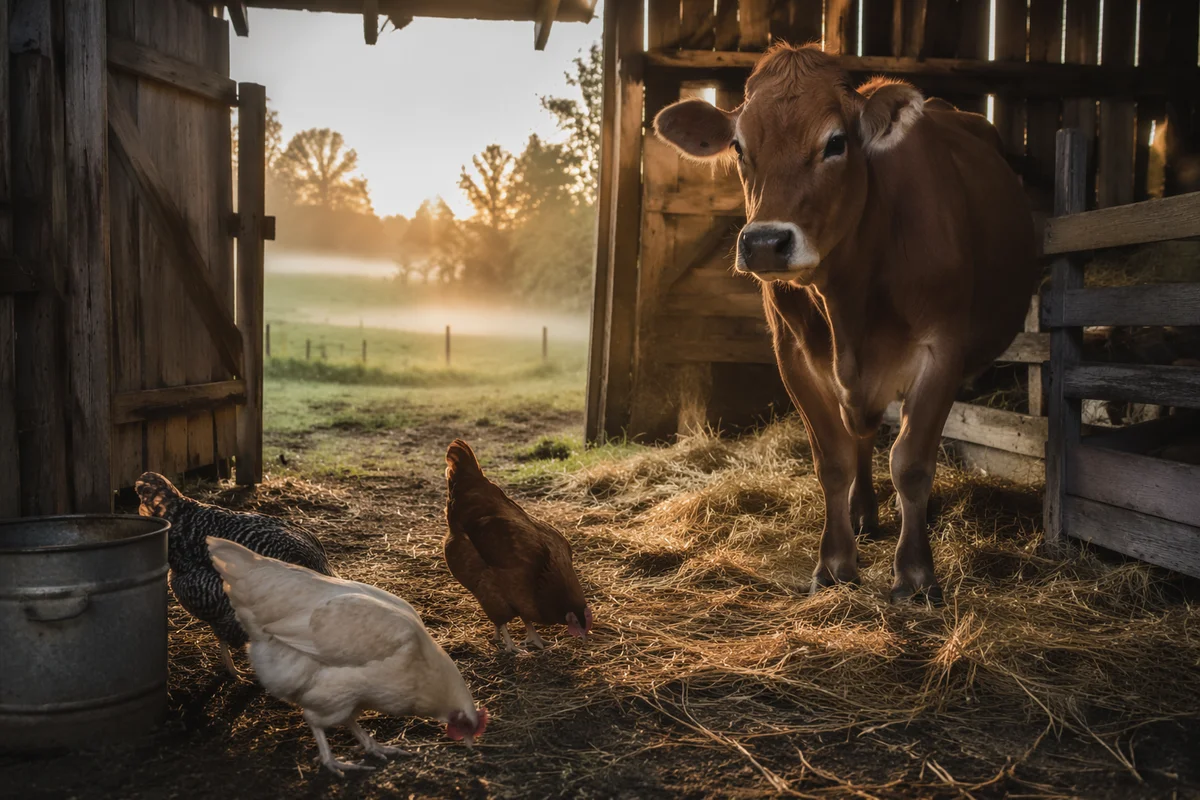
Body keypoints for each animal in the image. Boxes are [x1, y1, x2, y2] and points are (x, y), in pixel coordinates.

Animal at [653, 44, 1038, 604]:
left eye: (835, 142)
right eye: (739, 147)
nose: (765, 243)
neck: (850, 294)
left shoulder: (942, 351)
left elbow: (912, 462)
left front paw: (915, 575)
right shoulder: (793, 355)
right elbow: (831, 459)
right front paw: (835, 564)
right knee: (860, 433)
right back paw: (862, 514)